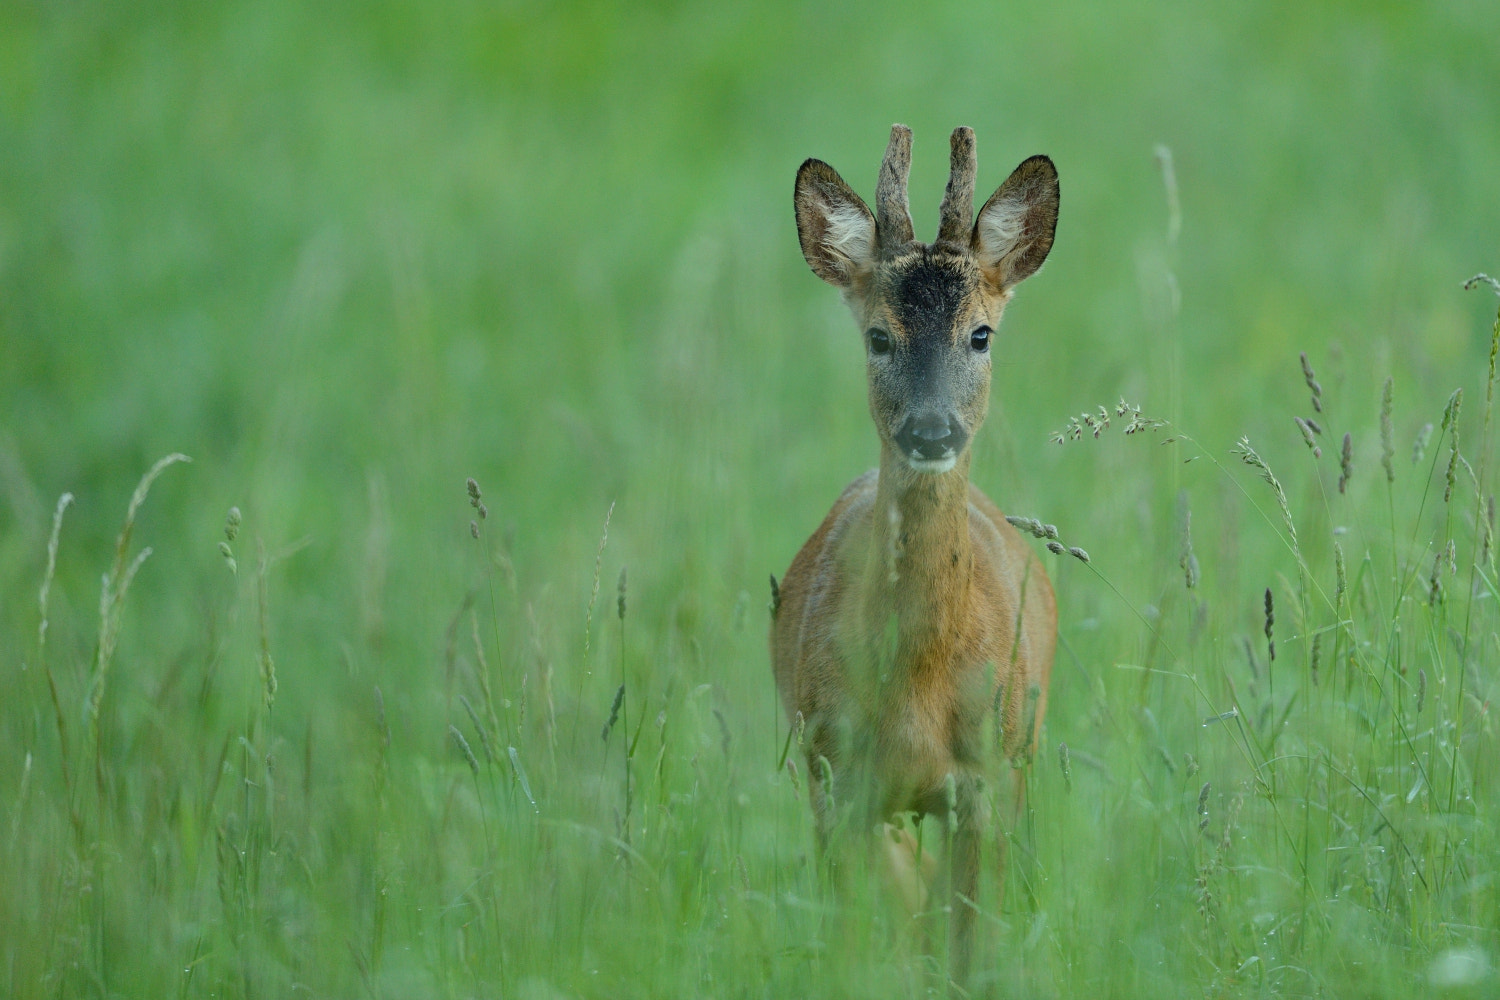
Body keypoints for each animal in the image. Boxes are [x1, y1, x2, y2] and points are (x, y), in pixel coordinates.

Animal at [768, 127, 1062, 995]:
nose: (932, 432)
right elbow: (864, 935)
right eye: (878, 336)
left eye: (981, 334)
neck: (916, 691)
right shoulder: (835, 777)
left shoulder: (988, 780)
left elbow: (968, 949)